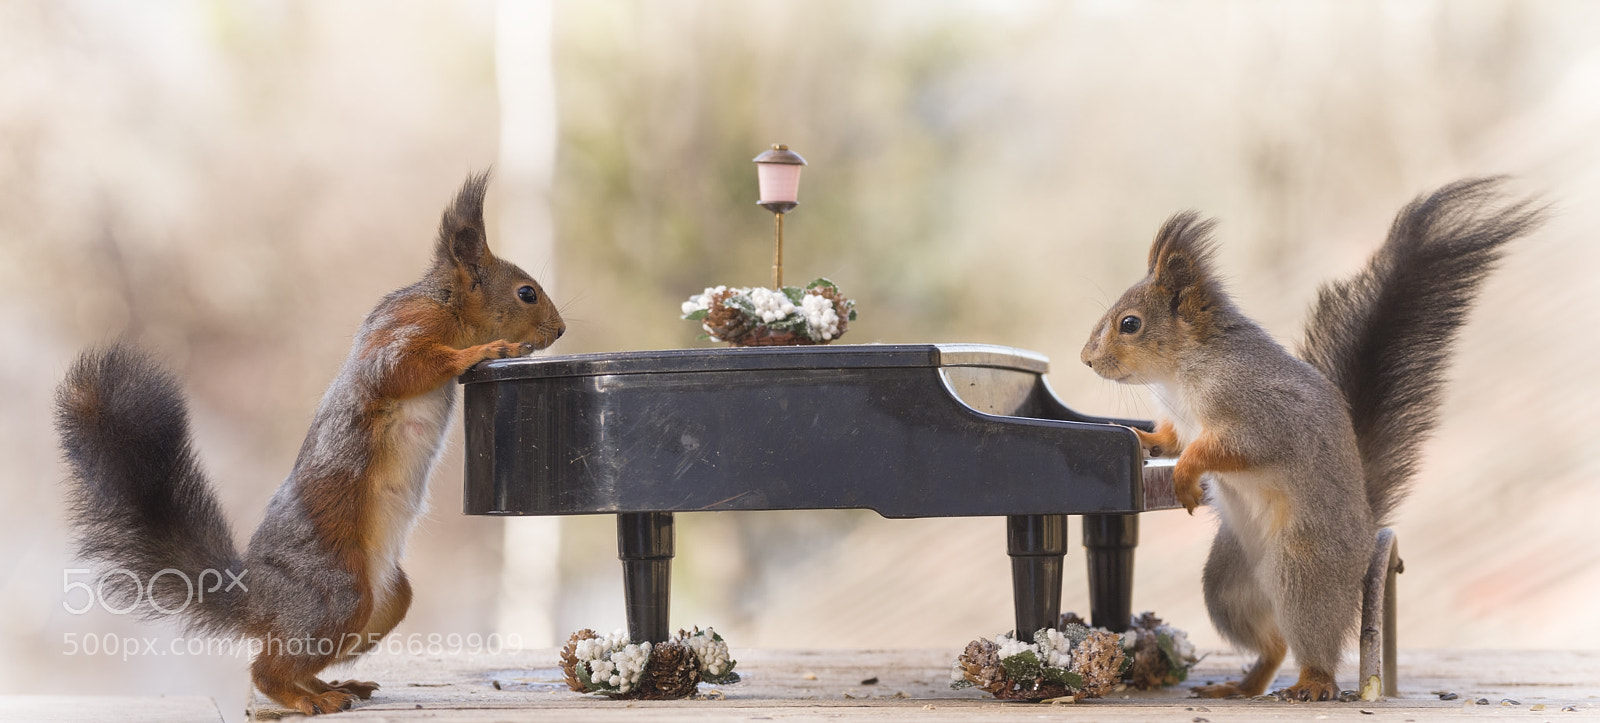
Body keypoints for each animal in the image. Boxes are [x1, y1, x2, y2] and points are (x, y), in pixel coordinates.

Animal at [54, 173, 565, 715]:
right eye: (526, 293)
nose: (561, 330)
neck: (445, 302)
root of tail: (257, 600)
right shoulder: (405, 330)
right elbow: (402, 369)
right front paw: (488, 349)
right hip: (336, 593)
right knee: (266, 668)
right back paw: (305, 700)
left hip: (383, 603)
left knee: (295, 659)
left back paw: (330, 687)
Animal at [1080, 178, 1542, 701]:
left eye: (1130, 324)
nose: (1086, 359)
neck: (1183, 372)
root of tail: (1364, 538)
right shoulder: (1180, 420)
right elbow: (1172, 438)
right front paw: (1141, 441)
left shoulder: (1261, 414)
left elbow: (1222, 448)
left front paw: (1185, 475)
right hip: (1228, 584)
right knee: (1275, 643)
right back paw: (1241, 686)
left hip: (1303, 569)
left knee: (1311, 639)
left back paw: (1313, 683)